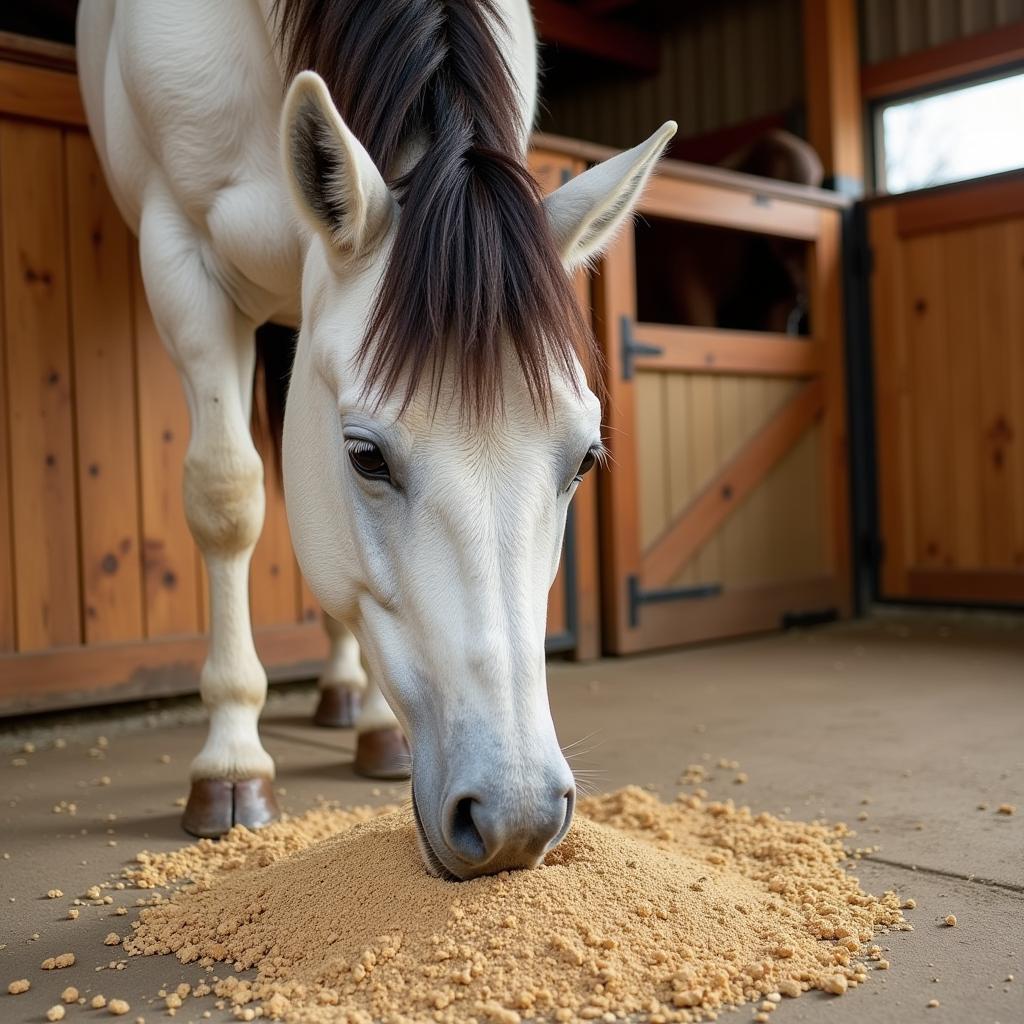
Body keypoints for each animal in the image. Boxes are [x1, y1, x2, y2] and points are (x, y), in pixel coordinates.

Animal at [77, 0, 671, 880]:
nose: (516, 817)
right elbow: (226, 496)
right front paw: (231, 762)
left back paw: (357, 707)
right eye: (365, 455)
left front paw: (372, 726)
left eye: (585, 461)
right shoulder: (181, 260)